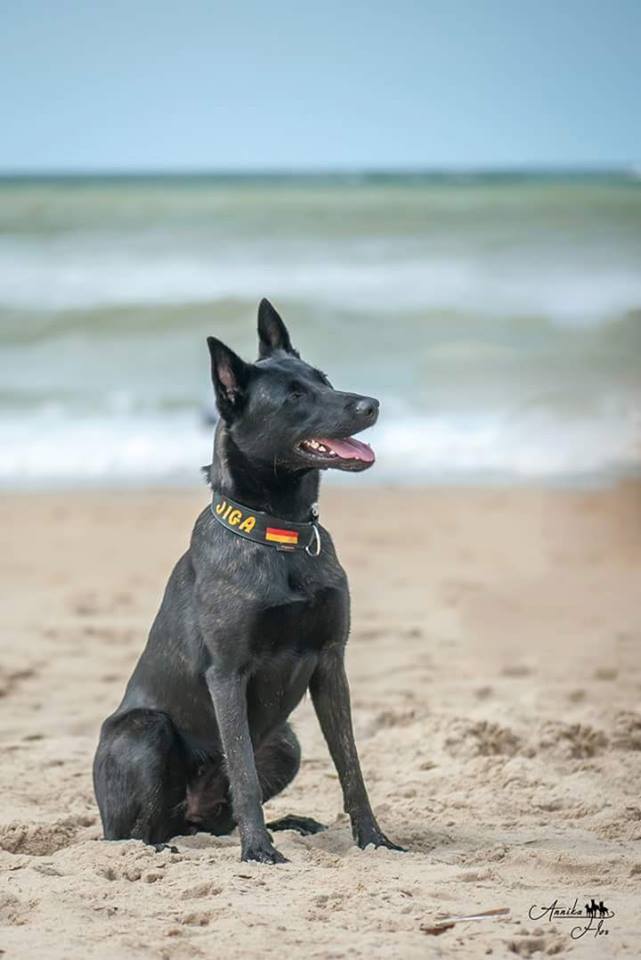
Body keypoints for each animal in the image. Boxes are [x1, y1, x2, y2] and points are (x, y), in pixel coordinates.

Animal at [92, 300, 402, 864]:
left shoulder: (331, 662)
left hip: (284, 741)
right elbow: (243, 771)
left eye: (324, 379)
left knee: (215, 820)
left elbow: (351, 768)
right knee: (138, 832)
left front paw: (374, 839)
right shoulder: (227, 675)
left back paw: (290, 823)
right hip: (145, 730)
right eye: (295, 397)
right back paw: (164, 849)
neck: (280, 535)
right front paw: (259, 851)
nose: (372, 405)